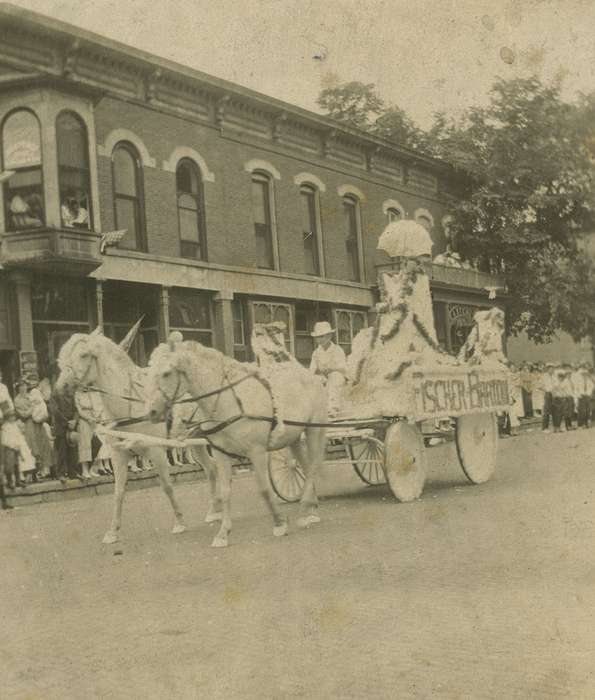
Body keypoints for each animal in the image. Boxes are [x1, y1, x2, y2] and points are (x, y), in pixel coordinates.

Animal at [54, 330, 222, 544]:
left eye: (84, 355)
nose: (60, 388)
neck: (130, 406)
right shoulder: (119, 454)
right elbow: (118, 492)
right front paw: (113, 531)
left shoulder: (156, 451)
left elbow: (167, 486)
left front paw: (179, 521)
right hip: (196, 441)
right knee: (211, 468)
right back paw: (213, 511)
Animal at [147, 342, 328, 548]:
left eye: (166, 373)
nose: (151, 412)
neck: (230, 401)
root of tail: (312, 377)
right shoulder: (220, 453)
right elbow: (225, 491)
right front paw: (223, 533)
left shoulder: (257, 451)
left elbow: (264, 489)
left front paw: (279, 522)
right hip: (293, 438)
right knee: (305, 467)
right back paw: (311, 509)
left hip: (314, 430)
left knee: (313, 467)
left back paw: (305, 507)